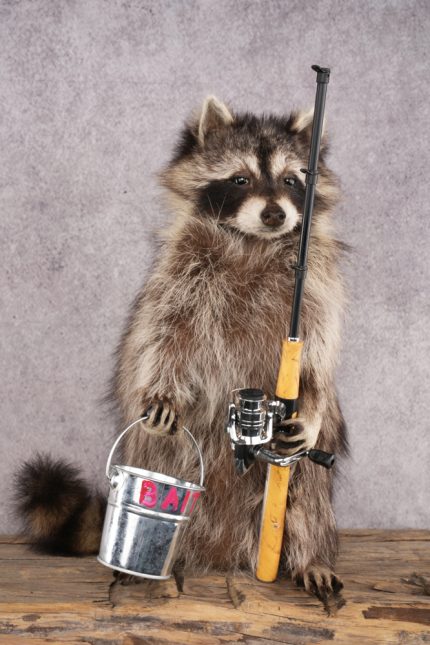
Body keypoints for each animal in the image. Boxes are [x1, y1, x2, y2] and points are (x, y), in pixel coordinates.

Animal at [15, 96, 347, 600]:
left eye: (292, 180)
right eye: (240, 179)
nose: (275, 214)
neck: (253, 242)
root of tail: (226, 550)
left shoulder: (315, 287)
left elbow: (318, 354)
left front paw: (312, 401)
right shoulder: (181, 273)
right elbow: (164, 335)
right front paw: (162, 388)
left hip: (299, 470)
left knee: (308, 490)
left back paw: (311, 555)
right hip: (169, 452)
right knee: (164, 452)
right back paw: (163, 567)